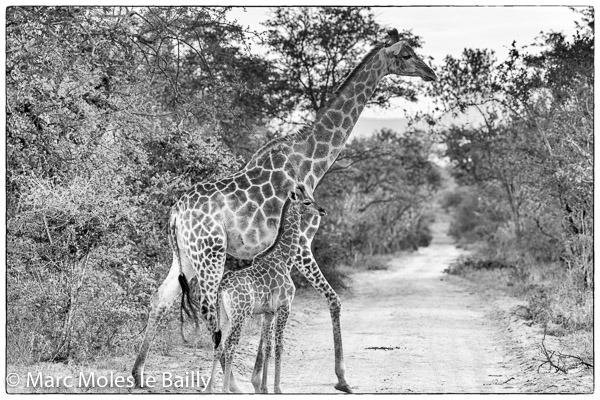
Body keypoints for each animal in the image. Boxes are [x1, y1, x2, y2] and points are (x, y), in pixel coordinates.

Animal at [206, 185, 328, 394]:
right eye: (307, 202)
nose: (322, 210)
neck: (285, 258)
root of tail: (222, 288)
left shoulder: (268, 312)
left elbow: (266, 347)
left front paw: (264, 388)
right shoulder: (284, 306)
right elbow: (279, 345)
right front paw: (277, 388)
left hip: (223, 313)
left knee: (218, 343)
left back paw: (209, 389)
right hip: (240, 314)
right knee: (230, 344)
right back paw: (225, 390)